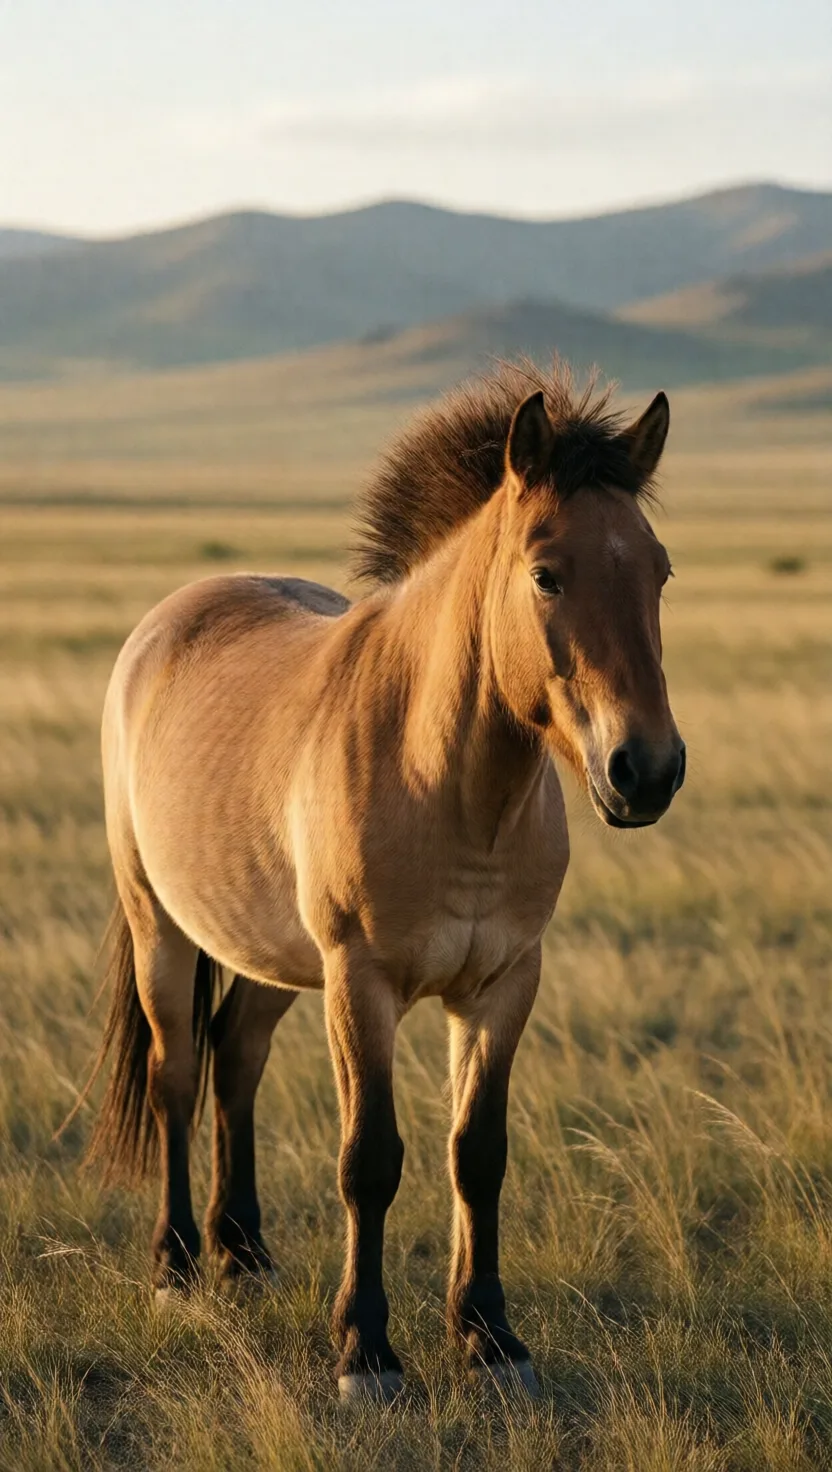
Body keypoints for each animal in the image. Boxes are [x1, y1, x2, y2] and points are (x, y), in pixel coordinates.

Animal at [76, 360, 685, 1402]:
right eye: (546, 573)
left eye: (659, 570)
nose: (645, 770)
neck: (452, 787)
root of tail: (170, 619)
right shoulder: (362, 984)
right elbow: (371, 1158)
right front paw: (366, 1351)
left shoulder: (502, 984)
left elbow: (477, 1153)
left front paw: (490, 1337)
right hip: (164, 928)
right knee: (177, 1075)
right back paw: (179, 1265)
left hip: (278, 960)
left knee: (236, 1057)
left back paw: (245, 1254)